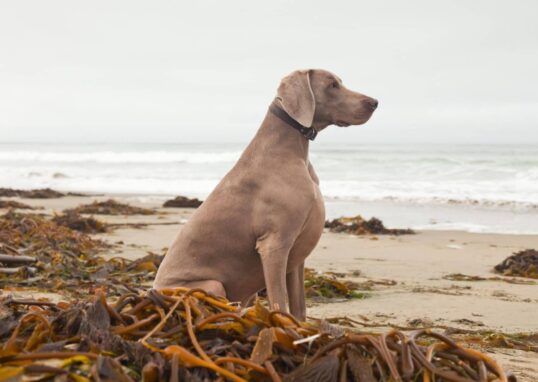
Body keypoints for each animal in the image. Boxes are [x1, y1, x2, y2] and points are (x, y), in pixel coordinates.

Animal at [153, 68, 374, 320]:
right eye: (332, 85)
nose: (375, 102)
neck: (293, 151)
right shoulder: (274, 245)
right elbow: (279, 302)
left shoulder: (296, 256)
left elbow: (299, 307)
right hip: (210, 285)